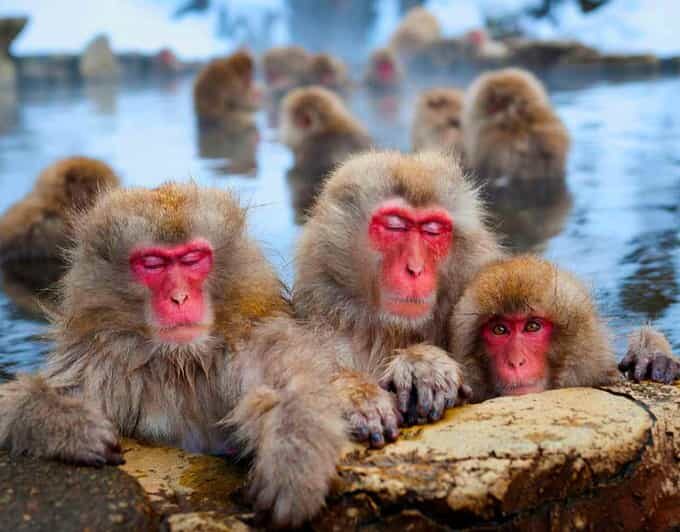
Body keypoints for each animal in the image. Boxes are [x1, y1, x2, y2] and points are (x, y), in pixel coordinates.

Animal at [0, 183, 347, 528]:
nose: (179, 298)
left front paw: (292, 463)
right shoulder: (99, 363)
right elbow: (11, 405)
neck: (181, 362)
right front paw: (67, 425)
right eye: (153, 263)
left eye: (192, 259)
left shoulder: (251, 345)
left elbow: (293, 386)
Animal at [291, 150, 503, 447]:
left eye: (433, 230)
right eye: (395, 226)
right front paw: (357, 394)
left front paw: (423, 364)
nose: (415, 269)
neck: (390, 330)